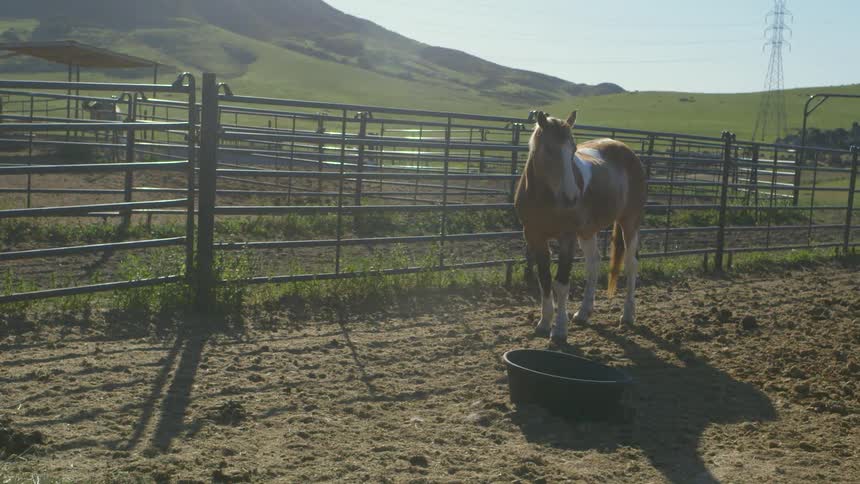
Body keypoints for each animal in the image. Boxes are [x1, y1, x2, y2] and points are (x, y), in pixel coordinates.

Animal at [514, 110, 647, 343]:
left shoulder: (567, 236)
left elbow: (561, 282)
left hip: (630, 222)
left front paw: (559, 329)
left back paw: (628, 315)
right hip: (587, 232)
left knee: (631, 264)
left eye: (573, 150)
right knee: (593, 264)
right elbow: (544, 279)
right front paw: (543, 323)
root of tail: (627, 151)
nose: (572, 197)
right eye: (549, 149)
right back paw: (584, 312)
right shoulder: (534, 236)